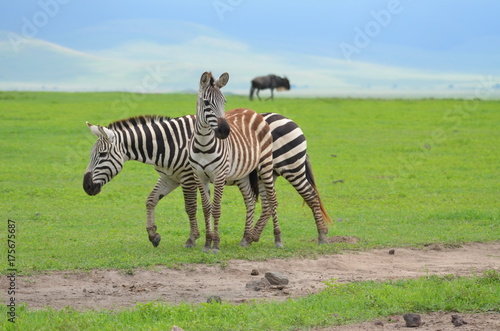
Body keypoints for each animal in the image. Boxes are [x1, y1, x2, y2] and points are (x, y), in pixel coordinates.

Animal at [188, 72, 282, 254]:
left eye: (224, 101)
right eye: (206, 102)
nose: (225, 131)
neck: (203, 145)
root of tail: (251, 110)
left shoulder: (219, 176)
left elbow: (216, 209)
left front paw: (215, 244)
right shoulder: (199, 177)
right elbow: (206, 209)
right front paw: (207, 243)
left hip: (265, 164)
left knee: (273, 199)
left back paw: (278, 239)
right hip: (243, 174)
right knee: (250, 201)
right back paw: (245, 239)